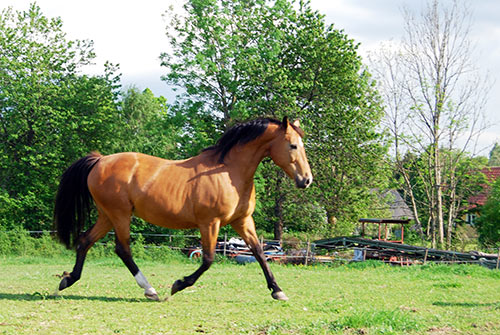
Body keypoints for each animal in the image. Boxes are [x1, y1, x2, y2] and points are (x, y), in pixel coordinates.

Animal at [53, 117, 312, 302]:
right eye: (292, 145)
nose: (306, 180)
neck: (229, 171)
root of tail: (100, 160)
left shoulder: (243, 220)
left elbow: (259, 252)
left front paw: (277, 290)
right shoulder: (210, 223)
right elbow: (208, 259)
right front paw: (178, 285)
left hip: (107, 216)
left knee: (85, 241)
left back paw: (68, 280)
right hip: (120, 215)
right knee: (122, 249)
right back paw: (150, 290)